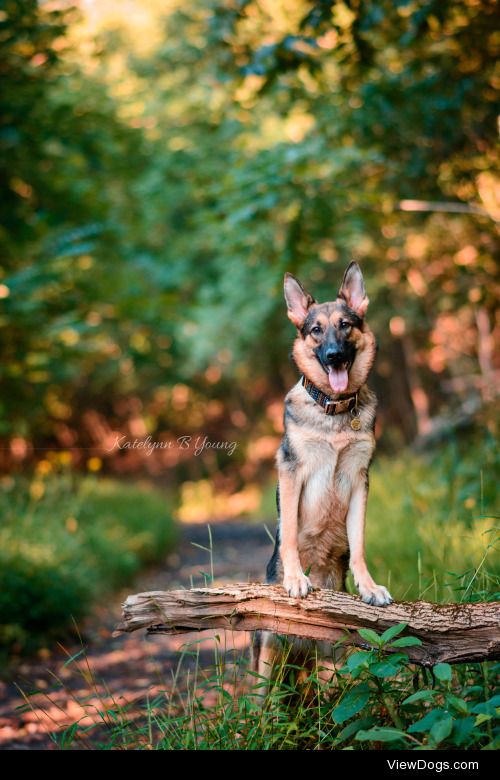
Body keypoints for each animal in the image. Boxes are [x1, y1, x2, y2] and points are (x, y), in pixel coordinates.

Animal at [252, 266, 392, 688]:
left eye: (345, 325)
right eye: (315, 330)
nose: (334, 356)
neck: (334, 409)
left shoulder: (360, 480)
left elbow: (359, 545)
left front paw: (368, 587)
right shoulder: (292, 472)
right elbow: (290, 535)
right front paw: (296, 577)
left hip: (336, 664)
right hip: (266, 651)